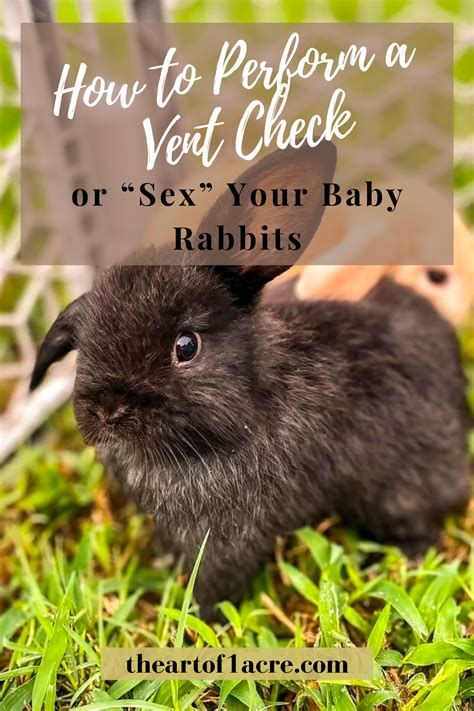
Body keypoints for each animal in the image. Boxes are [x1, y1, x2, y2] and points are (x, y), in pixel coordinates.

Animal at [30, 142, 471, 619]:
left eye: (186, 346)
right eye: (84, 346)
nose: (108, 411)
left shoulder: (229, 542)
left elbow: (215, 584)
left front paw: (199, 620)